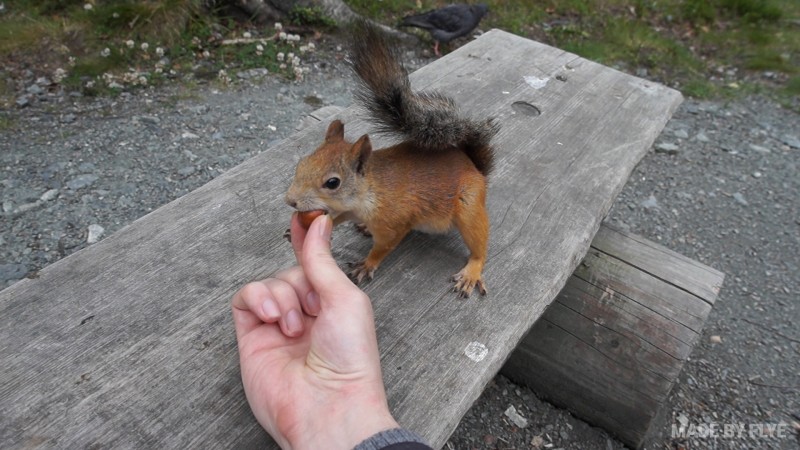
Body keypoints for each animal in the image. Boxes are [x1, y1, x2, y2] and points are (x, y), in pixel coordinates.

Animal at [284, 21, 496, 298]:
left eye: (332, 183)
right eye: (301, 164)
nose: (290, 201)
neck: (369, 192)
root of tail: (473, 166)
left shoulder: (393, 225)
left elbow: (383, 247)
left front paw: (367, 264)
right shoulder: (350, 209)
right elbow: (337, 216)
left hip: (469, 208)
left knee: (479, 245)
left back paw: (472, 272)